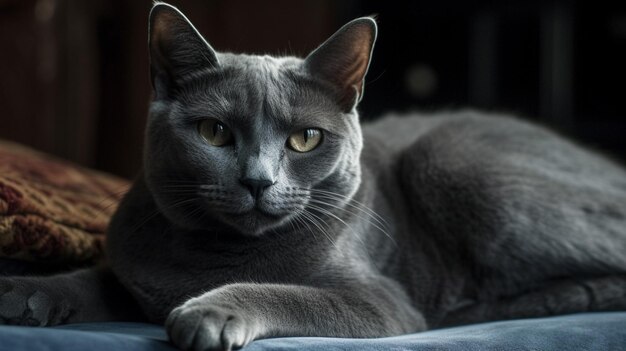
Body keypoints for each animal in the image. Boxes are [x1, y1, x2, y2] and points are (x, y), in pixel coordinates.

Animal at [1, 4, 624, 351]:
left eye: (305, 139)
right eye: (214, 132)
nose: (257, 180)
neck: (216, 255)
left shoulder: (379, 300)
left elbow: (288, 292)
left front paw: (207, 312)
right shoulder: (132, 265)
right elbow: (95, 278)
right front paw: (24, 292)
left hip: (454, 162)